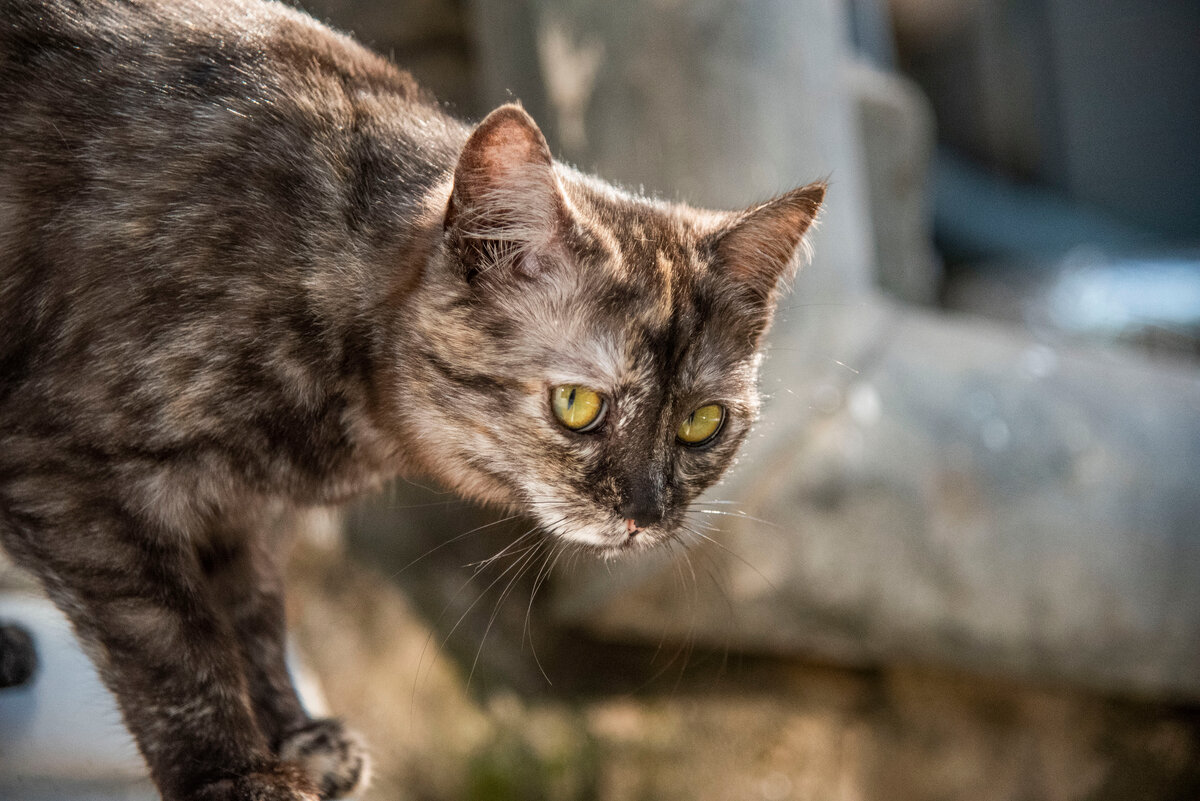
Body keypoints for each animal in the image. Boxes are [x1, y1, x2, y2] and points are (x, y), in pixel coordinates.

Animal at [0, 1, 825, 801]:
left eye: (702, 423)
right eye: (577, 405)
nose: (646, 514)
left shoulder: (248, 512)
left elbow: (254, 613)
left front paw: (295, 735)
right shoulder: (65, 469)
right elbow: (172, 636)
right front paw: (235, 772)